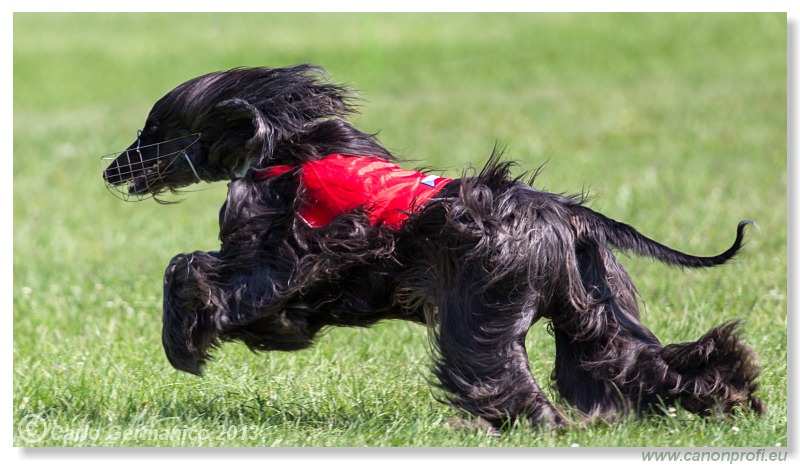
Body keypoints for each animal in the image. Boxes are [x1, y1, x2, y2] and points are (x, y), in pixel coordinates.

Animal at [103, 64, 764, 430]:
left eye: (153, 130)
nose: (111, 170)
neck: (287, 146)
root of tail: (566, 216)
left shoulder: (296, 250)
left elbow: (196, 270)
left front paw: (188, 343)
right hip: (590, 311)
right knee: (635, 362)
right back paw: (731, 396)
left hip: (482, 303)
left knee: (497, 374)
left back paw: (532, 426)